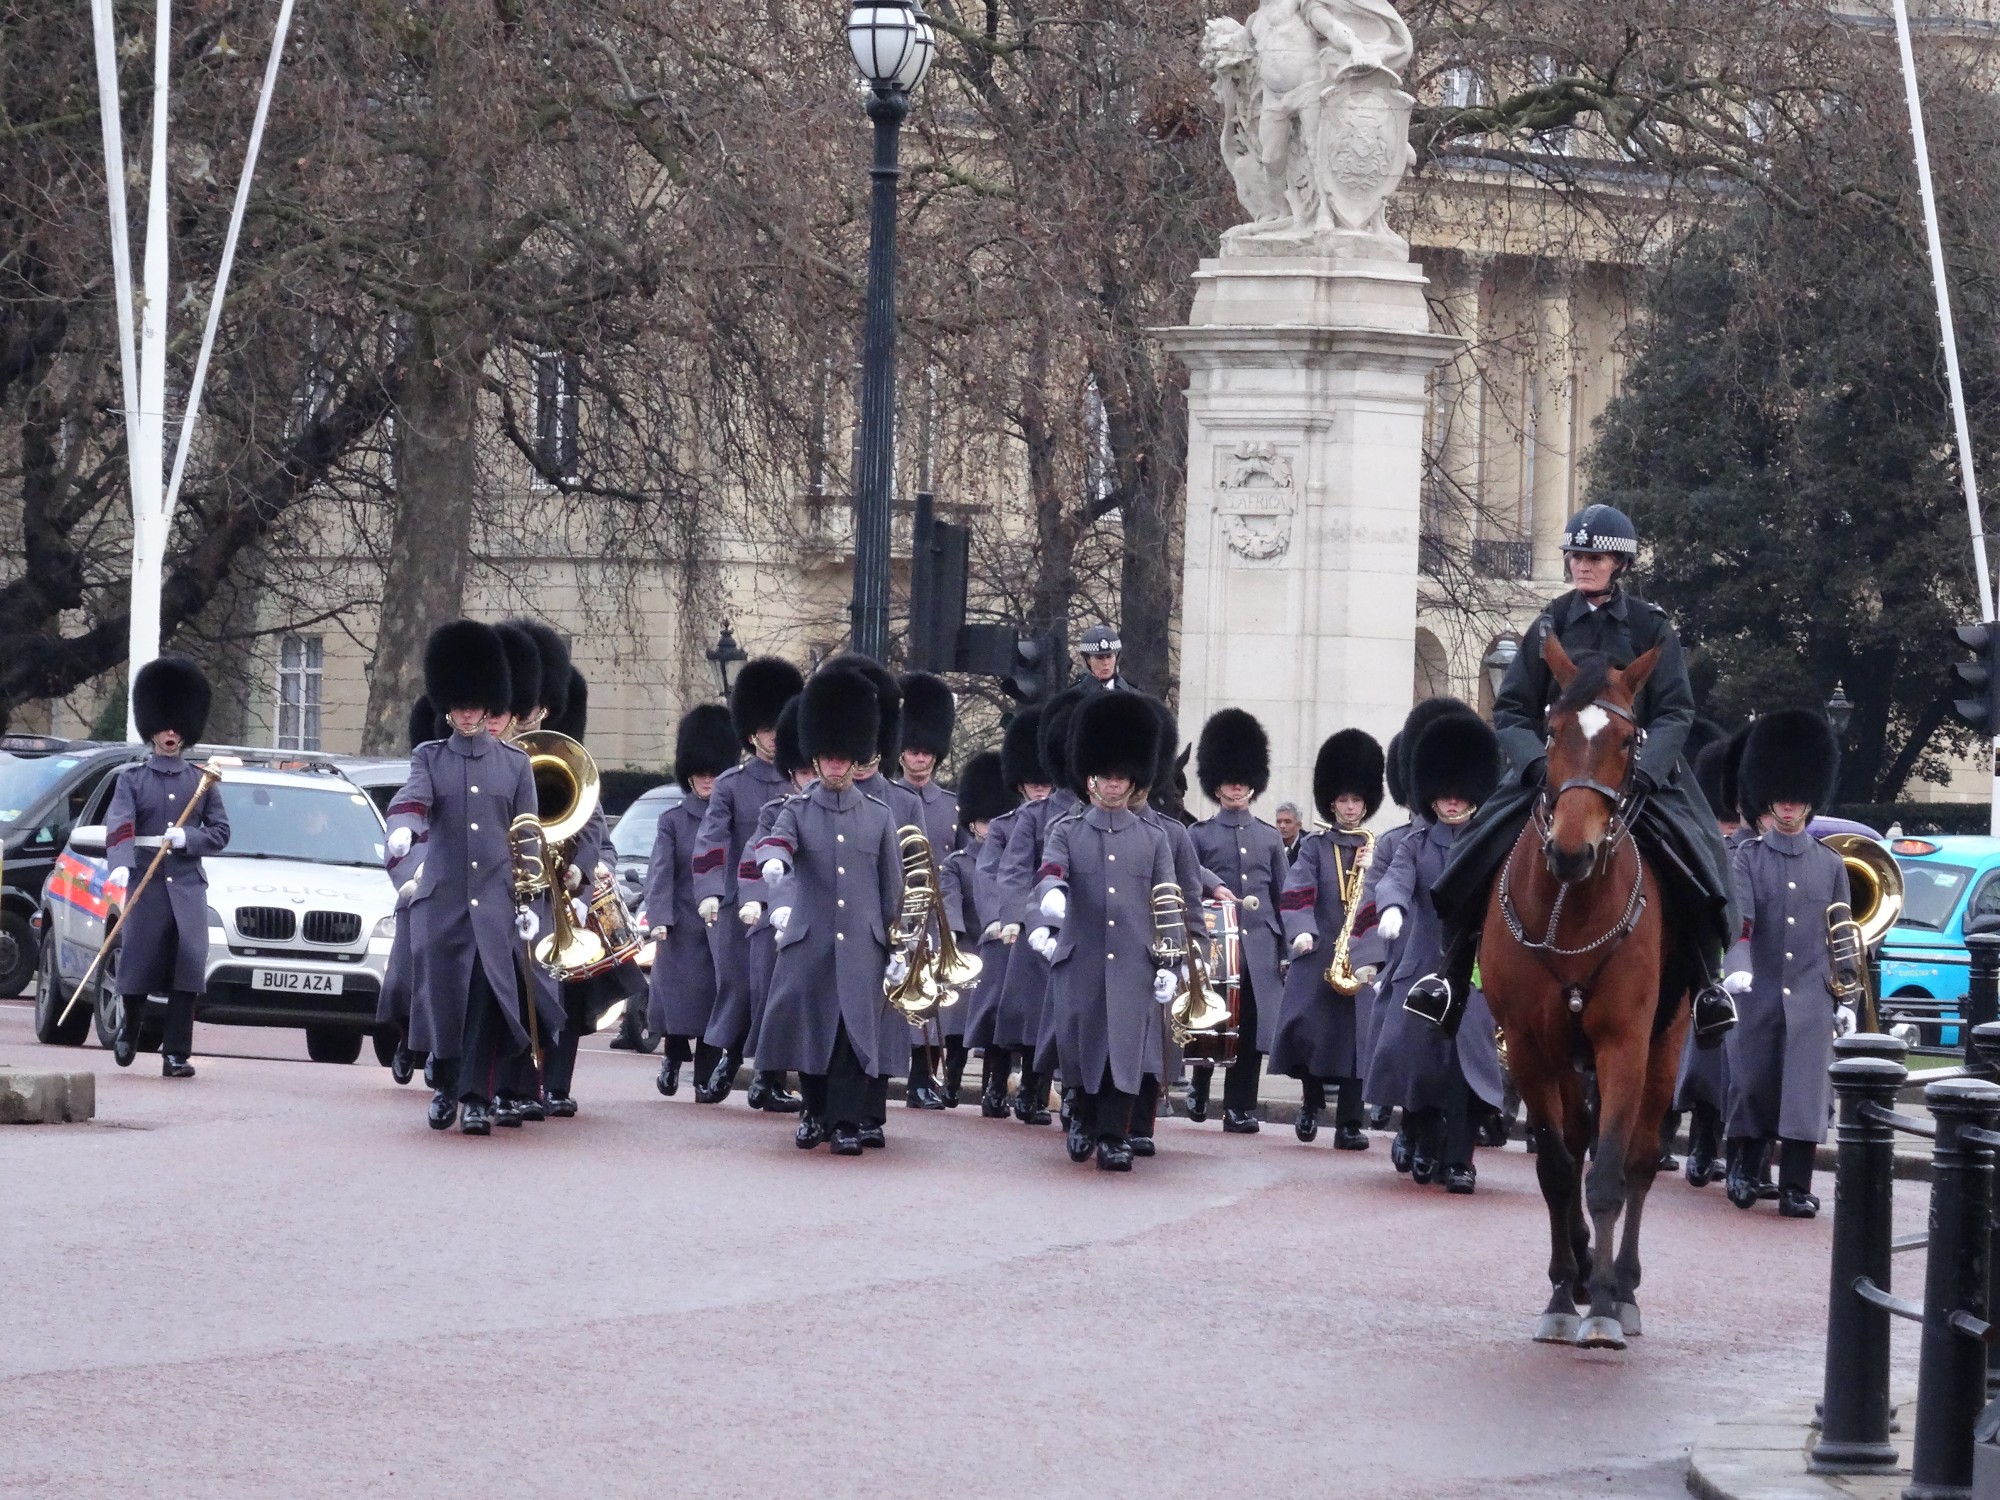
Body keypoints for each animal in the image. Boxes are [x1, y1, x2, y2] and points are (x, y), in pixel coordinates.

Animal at [1488, 636, 1688, 1352]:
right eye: (1551, 730)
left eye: (1630, 741)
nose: (1572, 851)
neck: (1569, 908)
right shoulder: (1528, 1047)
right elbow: (1555, 1167)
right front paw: (1560, 1292)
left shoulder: (1623, 1043)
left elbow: (1608, 1174)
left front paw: (1600, 1302)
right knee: (1575, 1142)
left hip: (1665, 1045)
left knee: (1639, 1158)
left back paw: (1620, 1286)